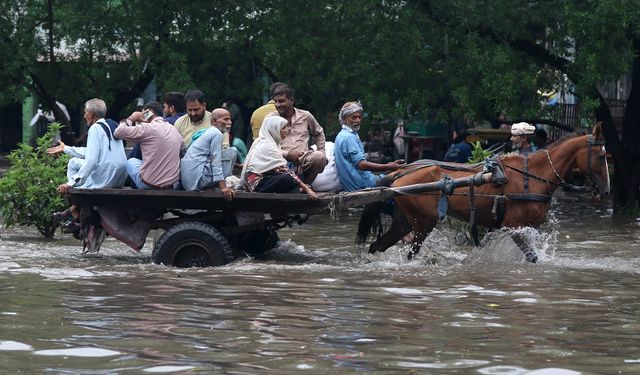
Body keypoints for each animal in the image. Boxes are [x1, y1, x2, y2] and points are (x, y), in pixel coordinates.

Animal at [356, 122, 608, 262]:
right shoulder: (513, 226)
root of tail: (400, 174)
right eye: (601, 156)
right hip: (423, 223)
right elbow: (532, 257)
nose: (606, 191)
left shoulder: (526, 227)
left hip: (405, 221)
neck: (534, 176)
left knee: (377, 246)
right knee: (409, 253)